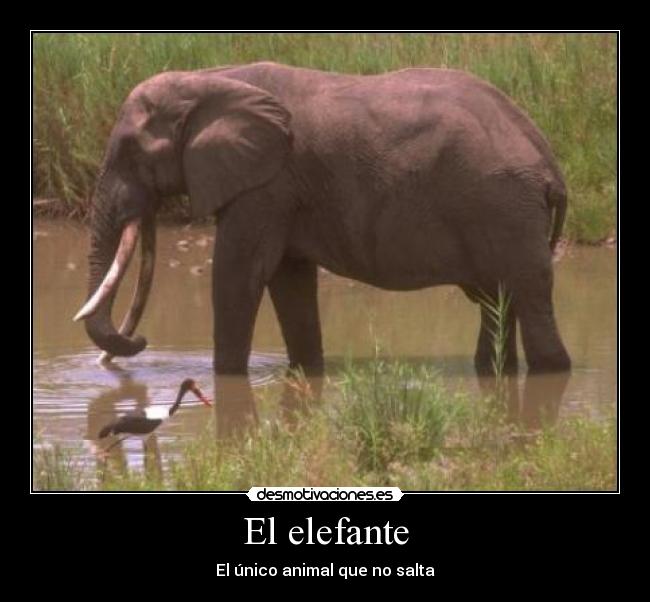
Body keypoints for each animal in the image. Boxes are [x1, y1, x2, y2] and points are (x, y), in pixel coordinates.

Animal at [74, 61, 571, 378]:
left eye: (130, 151)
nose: (139, 344)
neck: (205, 79)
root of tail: (548, 161)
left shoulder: (267, 183)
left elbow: (239, 273)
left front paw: (227, 377)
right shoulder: (280, 190)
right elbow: (289, 278)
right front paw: (307, 372)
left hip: (504, 206)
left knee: (529, 297)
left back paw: (551, 371)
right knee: (497, 300)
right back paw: (492, 373)